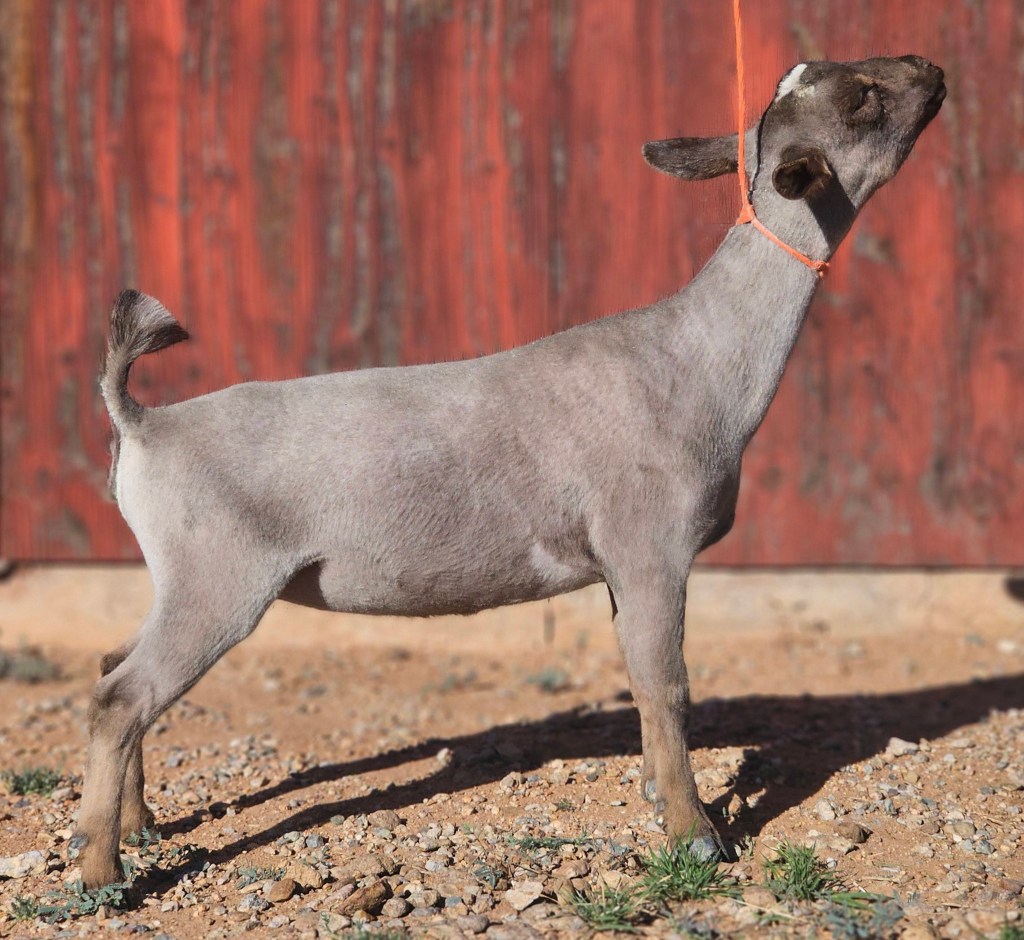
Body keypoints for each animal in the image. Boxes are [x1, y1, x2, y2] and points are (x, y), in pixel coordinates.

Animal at [75, 56, 945, 887]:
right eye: (861, 98)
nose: (928, 67)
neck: (693, 358)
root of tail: (144, 421)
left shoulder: (619, 568)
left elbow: (643, 684)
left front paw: (660, 798)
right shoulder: (651, 547)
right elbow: (666, 686)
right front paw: (696, 836)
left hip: (181, 579)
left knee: (112, 665)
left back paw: (140, 825)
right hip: (218, 578)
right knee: (122, 697)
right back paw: (101, 871)